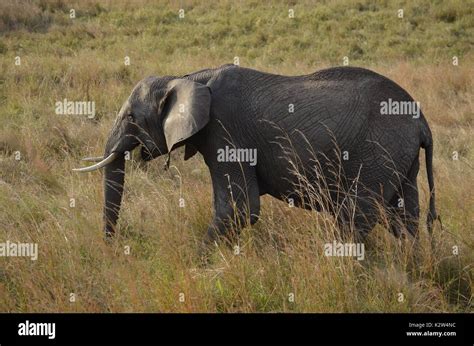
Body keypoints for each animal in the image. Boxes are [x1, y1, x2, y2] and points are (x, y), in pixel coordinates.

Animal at [72, 65, 438, 253]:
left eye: (131, 117)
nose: (112, 249)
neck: (186, 77)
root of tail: (422, 121)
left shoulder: (225, 131)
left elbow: (239, 208)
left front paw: (196, 265)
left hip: (378, 152)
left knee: (353, 218)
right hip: (399, 157)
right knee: (403, 219)